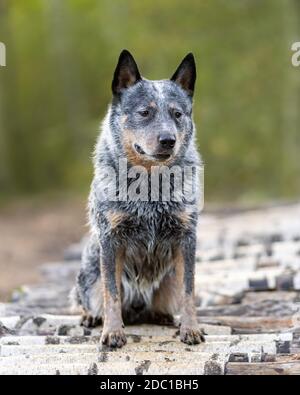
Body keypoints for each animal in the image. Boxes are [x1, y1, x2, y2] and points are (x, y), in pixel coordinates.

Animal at [71, 50, 205, 350]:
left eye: (177, 114)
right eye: (145, 112)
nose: (168, 139)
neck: (150, 186)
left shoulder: (187, 238)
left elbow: (189, 290)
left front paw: (190, 329)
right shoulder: (111, 239)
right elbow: (111, 293)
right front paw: (112, 332)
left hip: (168, 280)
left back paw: (163, 316)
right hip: (88, 273)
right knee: (86, 297)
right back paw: (90, 317)